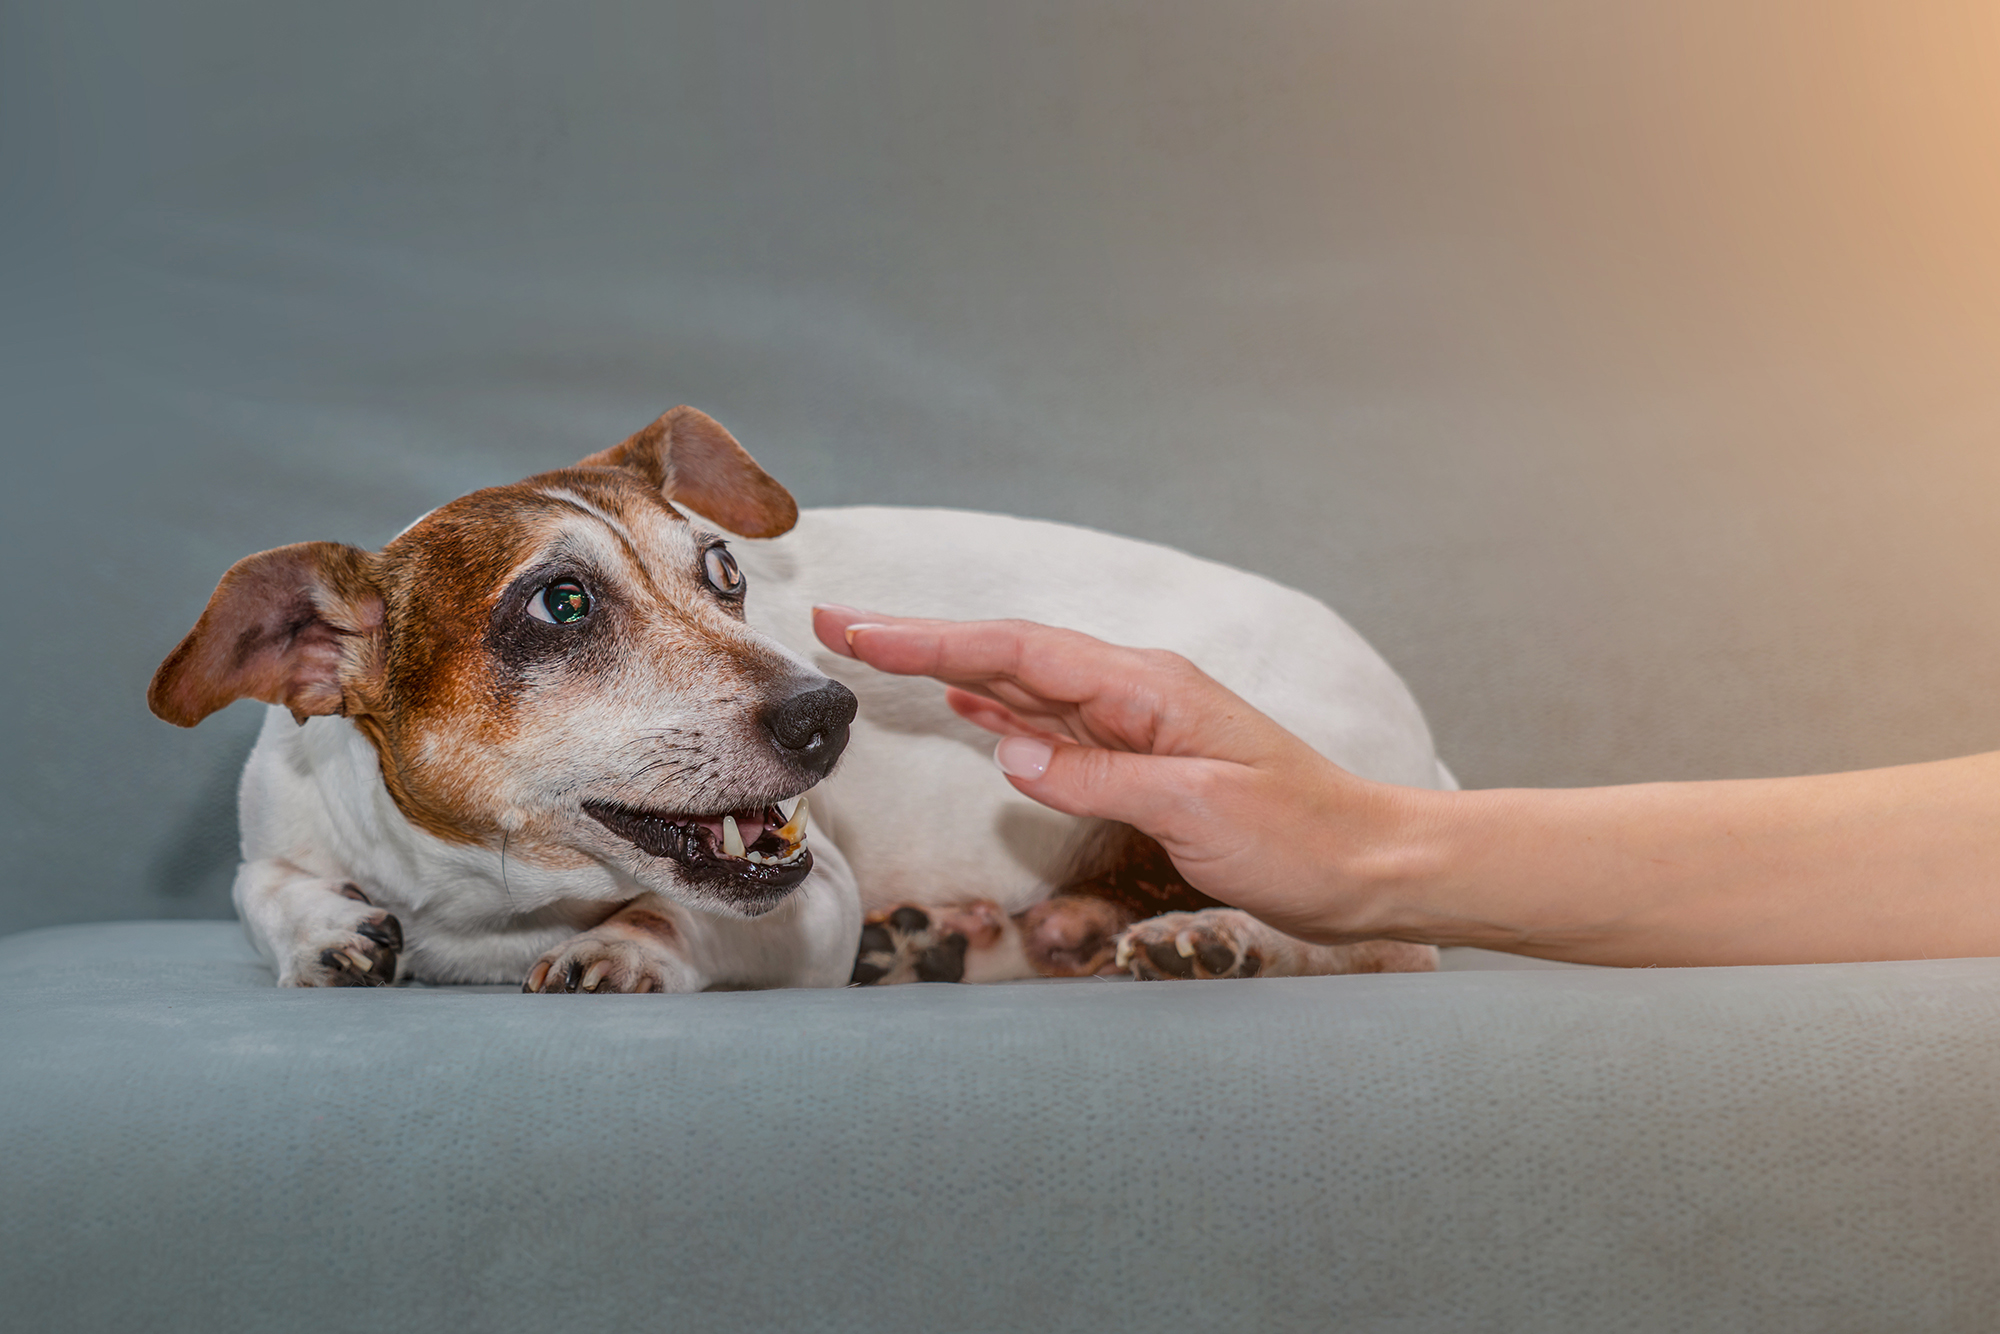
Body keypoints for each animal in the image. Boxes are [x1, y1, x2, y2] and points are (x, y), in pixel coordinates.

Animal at [148, 408, 1448, 992]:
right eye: (559, 604)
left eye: (724, 571)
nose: (830, 710)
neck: (494, 901)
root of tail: (1424, 748)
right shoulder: (275, 827)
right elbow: (263, 887)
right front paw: (324, 929)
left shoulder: (808, 897)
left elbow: (677, 919)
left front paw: (622, 944)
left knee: (1385, 937)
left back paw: (1212, 934)